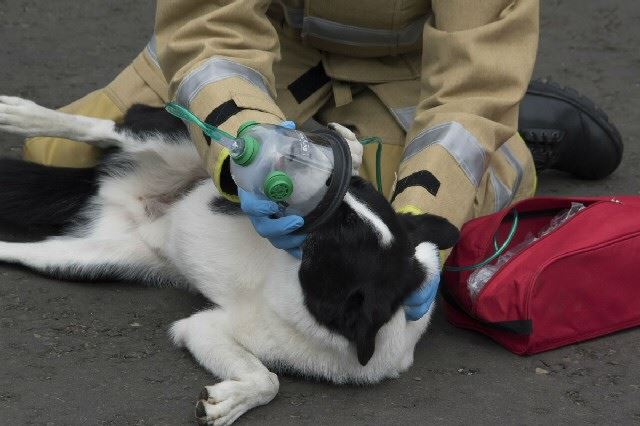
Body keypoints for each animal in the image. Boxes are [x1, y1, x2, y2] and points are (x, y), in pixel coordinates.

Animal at [0, 96, 460, 426]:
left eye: (340, 233)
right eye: (358, 191)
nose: (331, 173)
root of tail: (115, 190)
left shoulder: (204, 328)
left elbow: (269, 379)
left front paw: (228, 402)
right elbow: (269, 380)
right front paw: (347, 144)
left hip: (90, 258)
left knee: (25, 249)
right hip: (179, 143)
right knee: (109, 128)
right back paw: (23, 115)